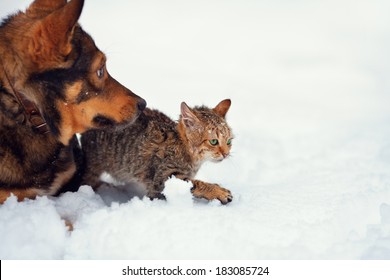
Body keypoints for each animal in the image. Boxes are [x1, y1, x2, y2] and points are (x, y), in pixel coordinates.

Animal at [80, 98, 233, 203]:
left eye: (229, 141)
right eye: (214, 141)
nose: (226, 154)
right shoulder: (161, 178)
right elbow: (195, 183)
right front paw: (218, 191)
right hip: (93, 167)